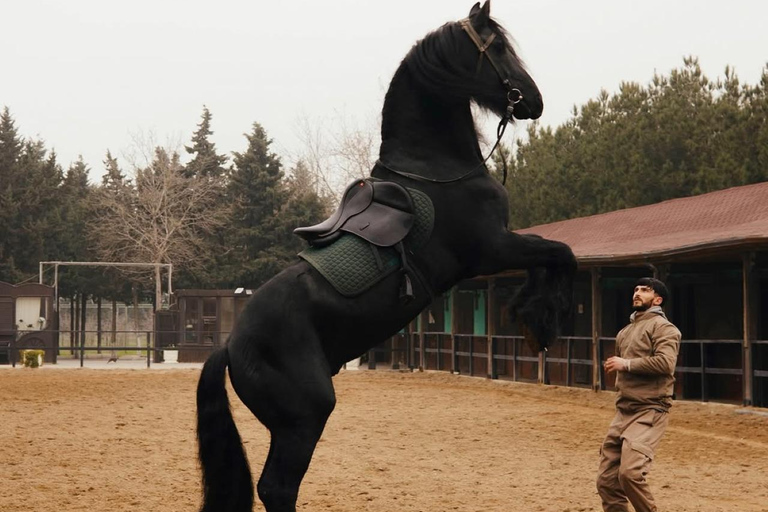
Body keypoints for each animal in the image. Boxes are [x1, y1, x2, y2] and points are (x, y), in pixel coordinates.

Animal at [196, 2, 577, 511]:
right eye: (497, 47)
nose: (533, 100)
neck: (437, 169)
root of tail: (232, 345)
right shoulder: (492, 249)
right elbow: (561, 255)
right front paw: (541, 322)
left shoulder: (498, 250)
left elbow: (549, 258)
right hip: (305, 417)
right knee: (278, 487)